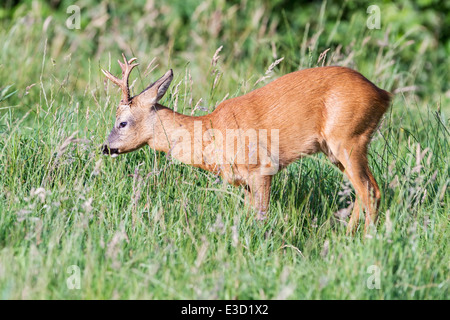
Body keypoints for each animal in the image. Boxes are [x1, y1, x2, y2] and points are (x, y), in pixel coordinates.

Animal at [101, 53, 390, 234]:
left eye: (122, 122)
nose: (105, 147)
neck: (210, 134)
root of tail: (383, 94)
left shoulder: (262, 167)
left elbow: (261, 216)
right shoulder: (244, 181)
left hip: (349, 137)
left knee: (371, 191)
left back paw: (366, 240)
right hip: (334, 149)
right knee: (362, 191)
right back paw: (346, 236)